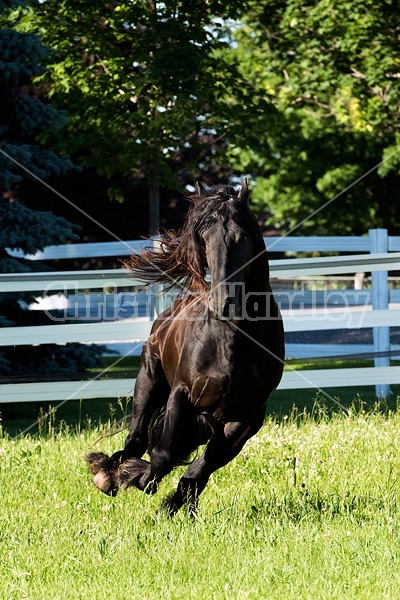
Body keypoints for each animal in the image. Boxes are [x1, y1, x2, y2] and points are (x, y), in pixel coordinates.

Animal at [86, 178, 284, 516]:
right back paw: (108, 474)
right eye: (203, 237)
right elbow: (163, 454)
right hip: (149, 381)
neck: (231, 344)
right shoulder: (183, 394)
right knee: (137, 437)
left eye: (242, 236)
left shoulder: (246, 417)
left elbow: (205, 463)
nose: (224, 302)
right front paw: (137, 478)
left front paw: (173, 503)